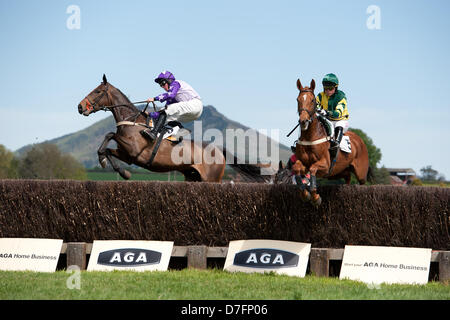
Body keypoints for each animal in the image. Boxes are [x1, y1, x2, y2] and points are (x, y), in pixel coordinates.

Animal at [77, 74, 268, 182]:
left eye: (97, 91)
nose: (80, 107)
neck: (132, 121)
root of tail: (219, 150)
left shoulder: (134, 149)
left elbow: (110, 134)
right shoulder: (128, 155)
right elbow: (107, 150)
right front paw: (121, 171)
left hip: (212, 179)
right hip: (193, 178)